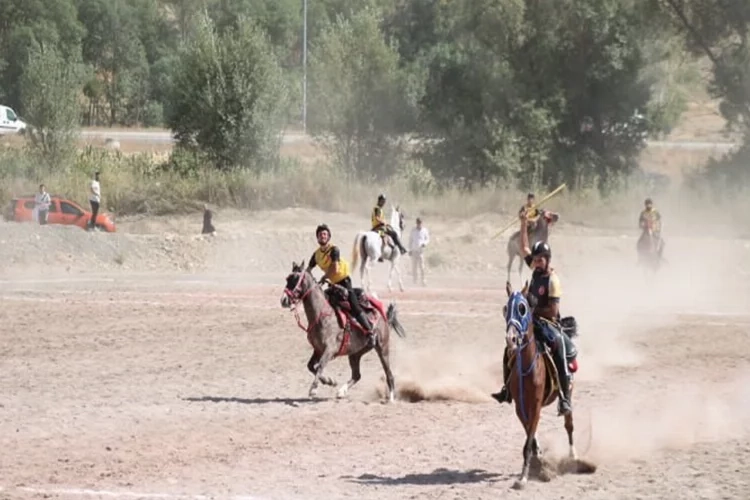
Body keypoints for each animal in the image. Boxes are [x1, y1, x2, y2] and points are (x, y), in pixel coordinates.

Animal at [280, 262, 408, 402]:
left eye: (296, 278)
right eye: (287, 279)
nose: (284, 300)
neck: (322, 314)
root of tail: (385, 317)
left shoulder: (330, 349)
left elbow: (320, 365)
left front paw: (313, 389)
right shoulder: (318, 349)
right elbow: (311, 366)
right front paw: (330, 381)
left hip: (382, 348)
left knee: (389, 374)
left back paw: (391, 398)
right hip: (355, 354)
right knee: (357, 375)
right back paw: (341, 391)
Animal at [506, 282, 580, 488]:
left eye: (522, 308)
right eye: (505, 308)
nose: (511, 338)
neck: (528, 367)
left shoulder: (536, 405)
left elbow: (530, 437)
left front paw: (524, 477)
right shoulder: (520, 407)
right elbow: (530, 437)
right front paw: (537, 460)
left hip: (568, 393)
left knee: (569, 425)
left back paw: (573, 455)